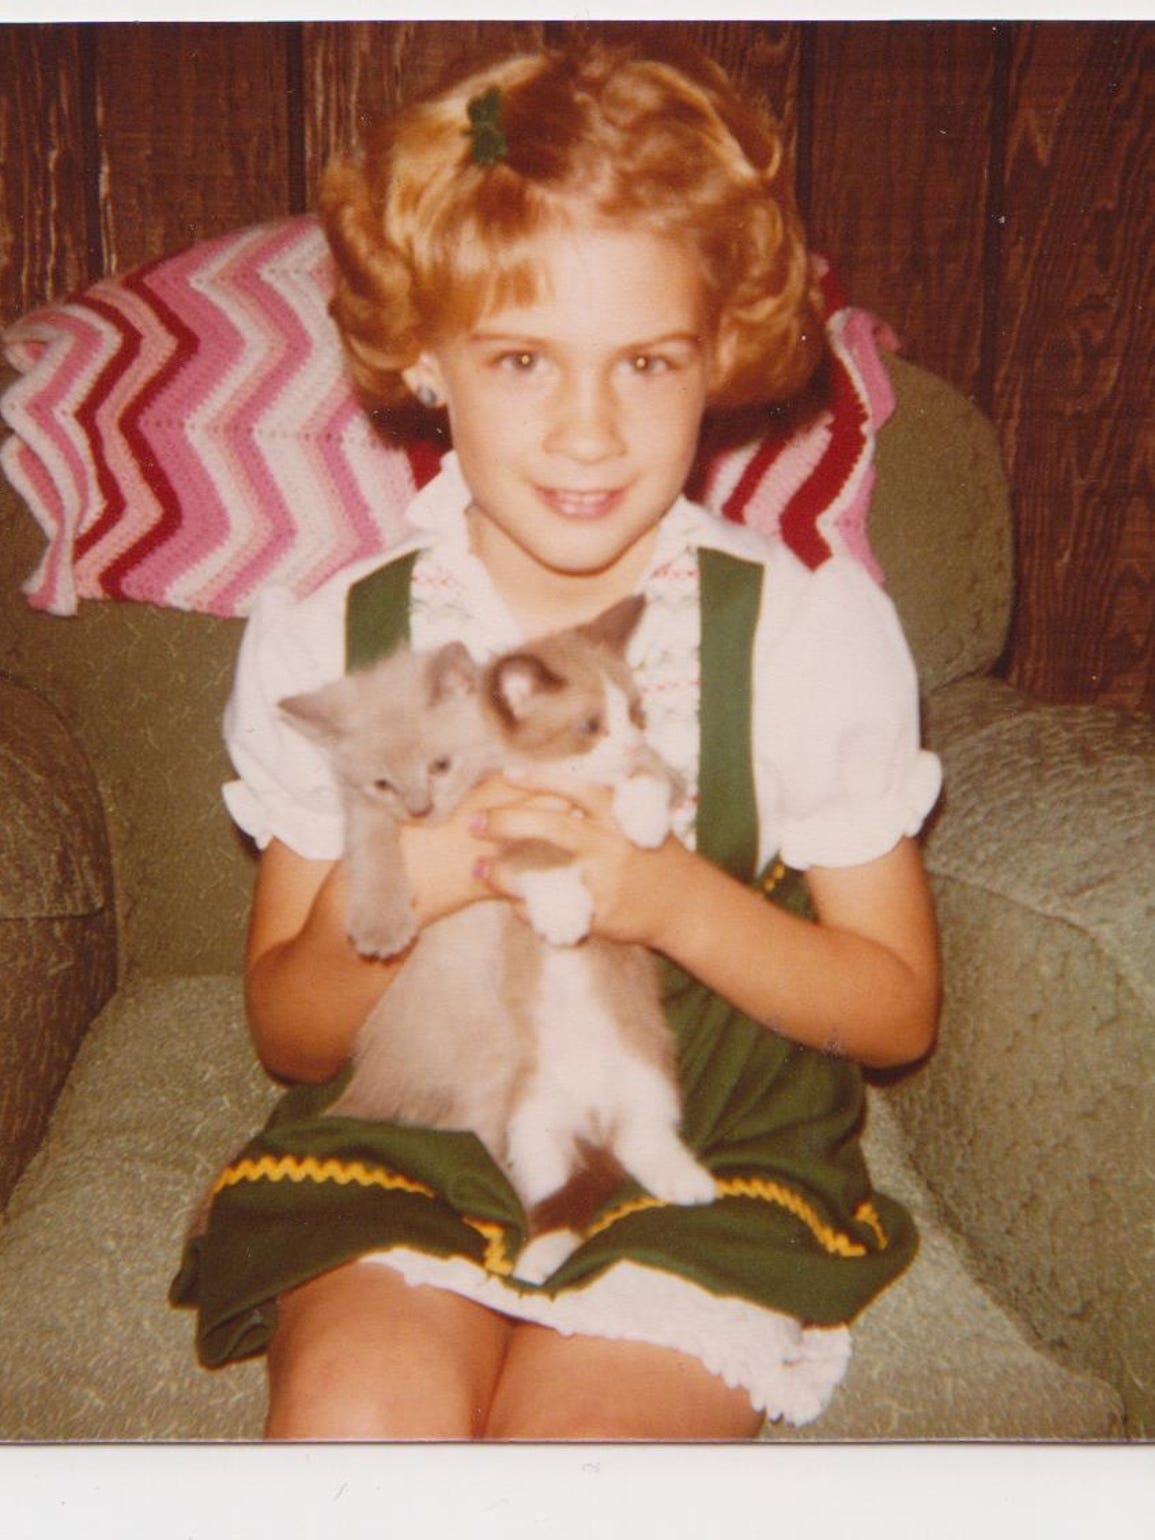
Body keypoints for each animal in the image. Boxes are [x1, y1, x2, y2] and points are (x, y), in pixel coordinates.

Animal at [280, 594, 714, 1281]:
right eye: (591, 725)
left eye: (637, 713)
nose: (631, 739)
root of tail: (595, 1114)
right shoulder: (491, 834)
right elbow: (531, 851)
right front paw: (563, 910)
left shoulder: (635, 774)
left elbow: (653, 778)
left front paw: (642, 823)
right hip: (534, 1131)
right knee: (558, 1196)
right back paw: (537, 1260)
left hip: (646, 1086)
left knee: (641, 1147)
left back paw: (687, 1183)